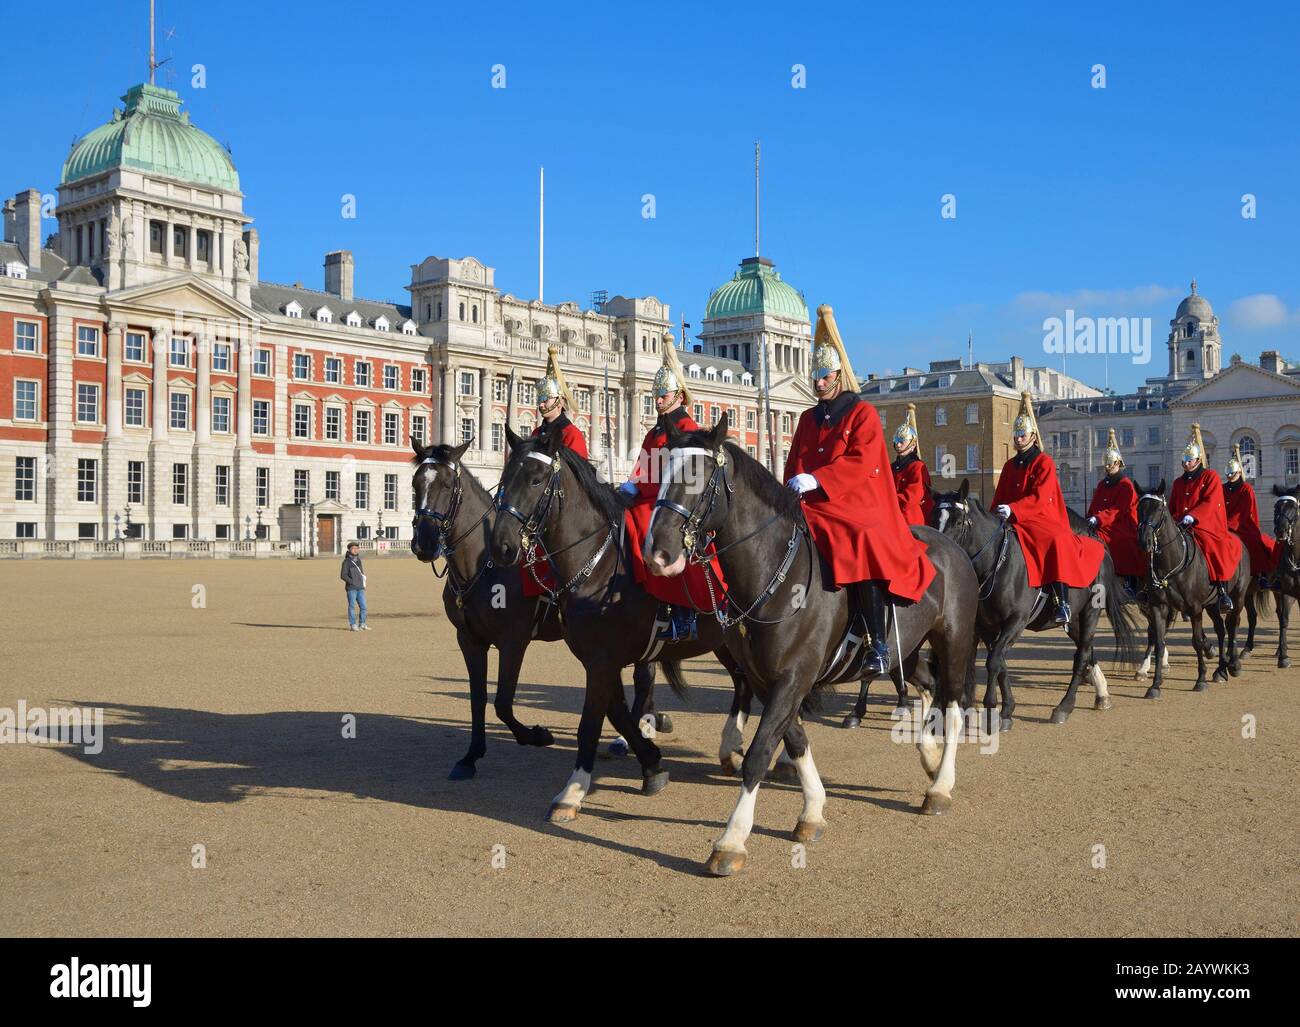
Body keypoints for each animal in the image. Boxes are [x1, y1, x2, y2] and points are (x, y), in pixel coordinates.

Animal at [410, 439, 670, 779]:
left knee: (644, 678)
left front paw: (535, 735)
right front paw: (470, 756)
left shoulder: (514, 639)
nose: (424, 543)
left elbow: (503, 702)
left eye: (445, 484)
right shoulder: (469, 640)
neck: (483, 564)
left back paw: (632, 738)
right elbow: (478, 698)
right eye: (415, 484)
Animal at [488, 425, 756, 824]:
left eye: (536, 479)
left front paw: (572, 792)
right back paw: (734, 748)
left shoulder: (602, 660)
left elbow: (589, 724)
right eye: (505, 479)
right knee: (744, 684)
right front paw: (652, 764)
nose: (501, 546)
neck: (597, 564)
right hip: (727, 642)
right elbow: (616, 713)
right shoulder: (600, 659)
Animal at [646, 416, 980, 876]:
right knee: (927, 684)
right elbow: (794, 740)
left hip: (955, 641)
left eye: (699, 475)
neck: (775, 574)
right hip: (906, 650)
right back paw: (927, 754)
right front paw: (813, 810)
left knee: (953, 707)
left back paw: (941, 786)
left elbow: (760, 751)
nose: (658, 553)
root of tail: (952, 548)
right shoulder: (769, 680)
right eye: (660, 471)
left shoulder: (794, 677)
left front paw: (731, 840)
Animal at [931, 479, 1139, 730]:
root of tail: (1099, 545)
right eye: (933, 518)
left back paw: (1064, 707)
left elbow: (994, 661)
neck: (998, 564)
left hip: (1091, 611)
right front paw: (1007, 709)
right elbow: (1000, 663)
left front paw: (992, 708)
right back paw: (1101, 693)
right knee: (1086, 649)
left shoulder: (1015, 622)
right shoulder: (987, 627)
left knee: (1081, 655)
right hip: (1074, 620)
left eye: (959, 521)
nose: (942, 554)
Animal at [1134, 479, 1252, 696]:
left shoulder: (1195, 608)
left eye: (1158, 508)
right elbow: (1159, 642)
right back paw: (1220, 670)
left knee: (1232, 624)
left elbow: (1196, 641)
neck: (1170, 563)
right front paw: (1155, 685)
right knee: (1221, 629)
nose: (1144, 540)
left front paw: (1200, 680)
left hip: (1238, 596)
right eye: (1139, 508)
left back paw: (1233, 664)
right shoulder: (1158, 607)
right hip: (1212, 604)